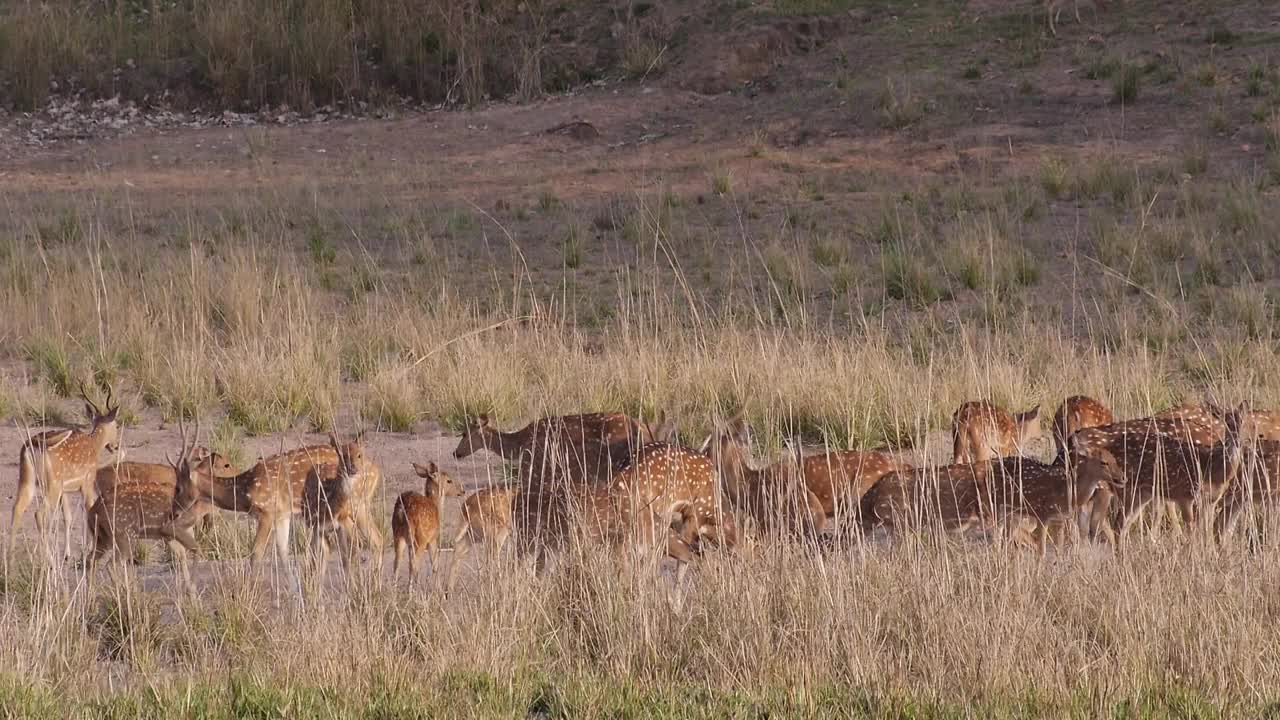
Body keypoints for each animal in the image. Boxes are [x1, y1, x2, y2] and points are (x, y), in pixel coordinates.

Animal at [10, 381, 120, 561]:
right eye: (117, 424)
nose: (115, 446)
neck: (94, 446)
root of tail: (32, 446)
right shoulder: (87, 482)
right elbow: (89, 511)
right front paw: (88, 550)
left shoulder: (65, 489)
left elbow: (67, 517)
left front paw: (68, 554)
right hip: (51, 484)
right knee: (39, 514)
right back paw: (49, 558)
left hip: (27, 479)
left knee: (18, 507)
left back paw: (10, 556)